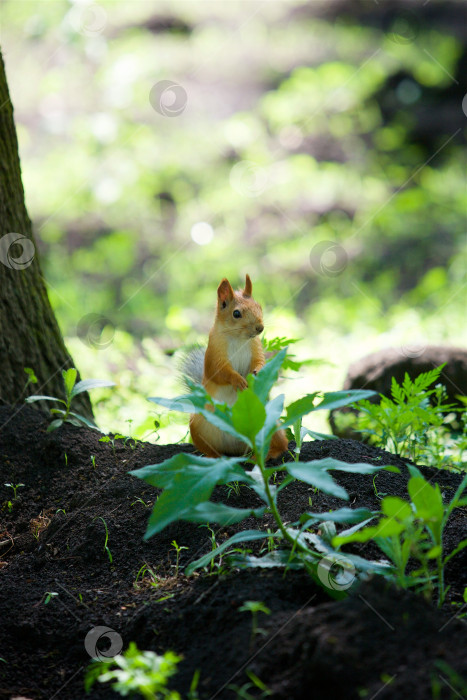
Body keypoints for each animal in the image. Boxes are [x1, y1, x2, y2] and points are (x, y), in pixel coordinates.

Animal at [186, 274, 288, 460]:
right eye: (236, 313)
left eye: (259, 306)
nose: (260, 328)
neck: (238, 338)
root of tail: (237, 449)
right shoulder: (214, 354)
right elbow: (220, 371)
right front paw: (237, 380)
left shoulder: (256, 347)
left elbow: (260, 361)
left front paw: (258, 372)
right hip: (197, 425)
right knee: (207, 448)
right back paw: (214, 458)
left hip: (270, 421)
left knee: (283, 445)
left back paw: (266, 454)